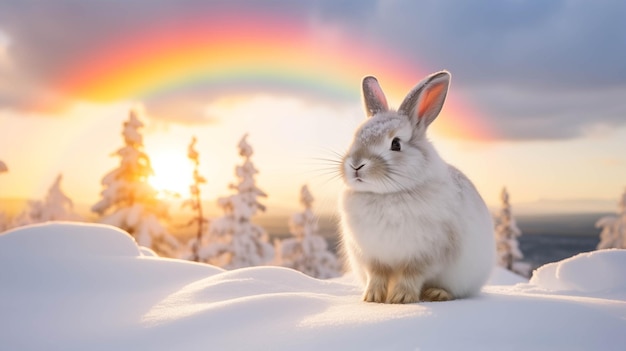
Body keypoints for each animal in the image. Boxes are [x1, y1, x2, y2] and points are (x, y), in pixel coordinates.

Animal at [338, 70, 494, 304]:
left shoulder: (426, 253)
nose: (356, 165)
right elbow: (377, 275)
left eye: (396, 144)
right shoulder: (373, 256)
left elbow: (412, 274)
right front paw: (372, 298)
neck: (387, 194)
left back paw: (437, 293)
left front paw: (401, 298)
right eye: (356, 137)